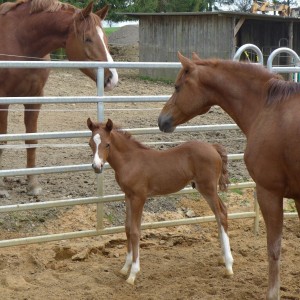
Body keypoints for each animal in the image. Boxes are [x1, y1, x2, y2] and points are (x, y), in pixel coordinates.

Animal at [0, 0, 118, 196]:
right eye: (88, 38)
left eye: (106, 39)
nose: (112, 78)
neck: (19, 41)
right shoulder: (3, 100)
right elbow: (3, 140)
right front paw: (2, 189)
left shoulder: (35, 98)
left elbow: (31, 140)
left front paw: (33, 184)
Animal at [87, 118, 234, 286]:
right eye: (90, 143)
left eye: (107, 144)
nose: (96, 166)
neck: (130, 161)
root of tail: (213, 148)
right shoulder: (128, 196)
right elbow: (127, 228)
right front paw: (125, 268)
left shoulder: (139, 197)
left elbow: (135, 231)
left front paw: (133, 273)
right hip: (206, 189)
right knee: (220, 214)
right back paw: (223, 258)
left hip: (208, 188)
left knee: (221, 214)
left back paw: (229, 265)